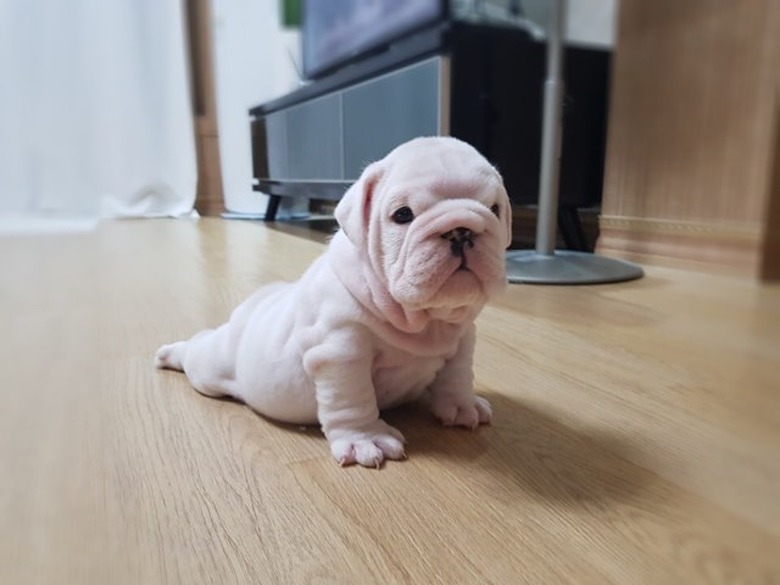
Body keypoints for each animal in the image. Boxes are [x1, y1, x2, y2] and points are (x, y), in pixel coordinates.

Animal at [158, 135, 512, 468]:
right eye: (402, 215)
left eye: (494, 210)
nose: (461, 230)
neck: (426, 320)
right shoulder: (341, 352)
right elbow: (353, 398)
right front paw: (365, 438)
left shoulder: (462, 341)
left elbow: (457, 376)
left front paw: (462, 406)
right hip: (212, 367)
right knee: (198, 352)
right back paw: (171, 353)